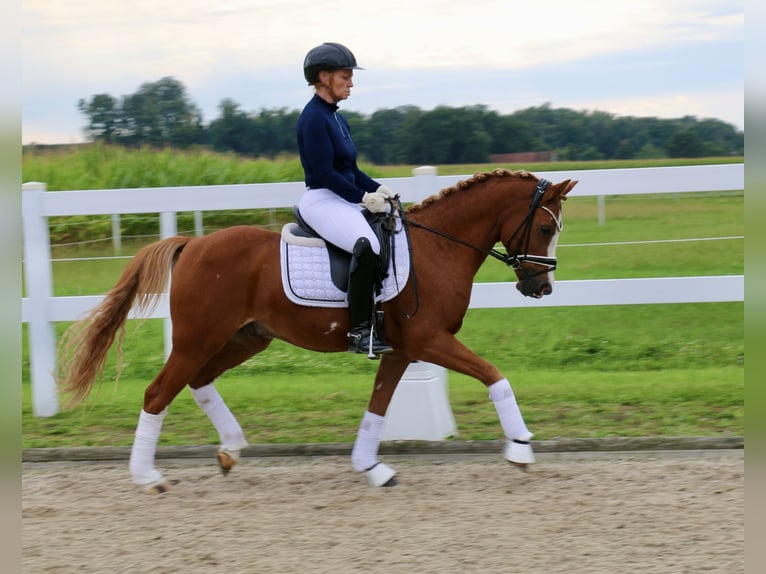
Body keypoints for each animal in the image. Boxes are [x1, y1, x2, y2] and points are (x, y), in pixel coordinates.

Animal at [58, 168, 576, 496]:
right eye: (545, 227)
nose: (541, 287)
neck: (439, 249)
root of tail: (192, 244)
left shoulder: (400, 351)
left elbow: (377, 408)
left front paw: (371, 468)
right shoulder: (430, 341)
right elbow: (494, 375)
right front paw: (521, 449)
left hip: (246, 337)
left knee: (199, 381)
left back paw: (230, 451)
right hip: (197, 339)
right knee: (158, 393)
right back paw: (149, 478)